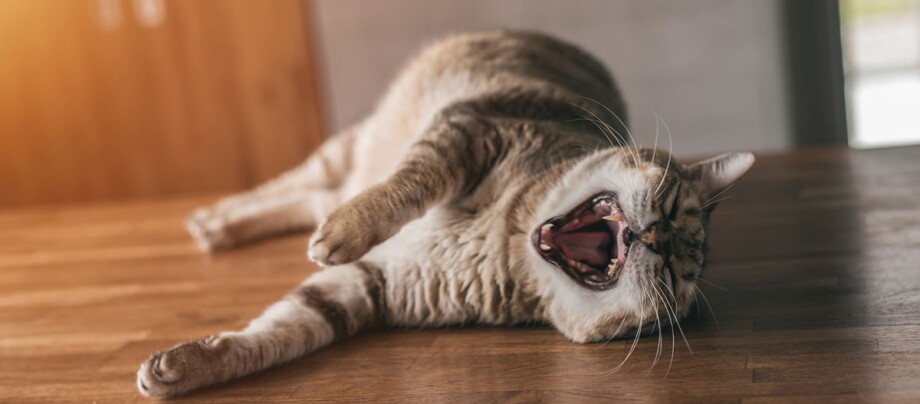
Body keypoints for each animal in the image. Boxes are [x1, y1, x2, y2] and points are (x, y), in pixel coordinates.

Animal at [137, 30, 756, 396]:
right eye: (672, 207)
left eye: (672, 276)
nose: (653, 238)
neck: (507, 239)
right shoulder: (471, 131)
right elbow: (406, 186)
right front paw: (345, 230)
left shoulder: (374, 287)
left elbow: (281, 331)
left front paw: (185, 368)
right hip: (349, 145)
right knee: (303, 185)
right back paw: (218, 219)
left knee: (310, 197)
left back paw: (218, 228)